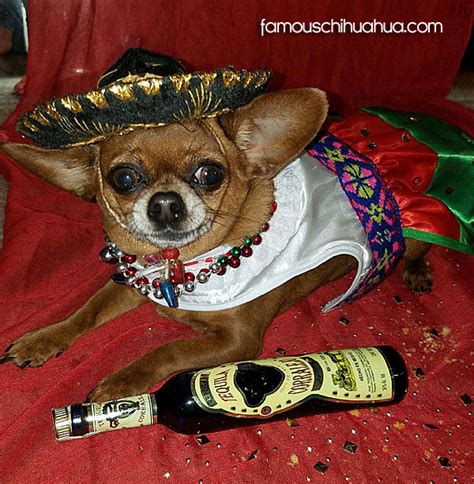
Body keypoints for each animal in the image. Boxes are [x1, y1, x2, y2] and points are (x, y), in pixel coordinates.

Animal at [0, 86, 434, 400]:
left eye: (210, 174)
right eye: (123, 178)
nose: (164, 203)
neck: (177, 265)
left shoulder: (237, 341)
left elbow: (167, 350)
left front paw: (122, 383)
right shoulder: (131, 286)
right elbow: (86, 312)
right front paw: (45, 339)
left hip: (414, 233)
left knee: (419, 251)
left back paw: (417, 272)